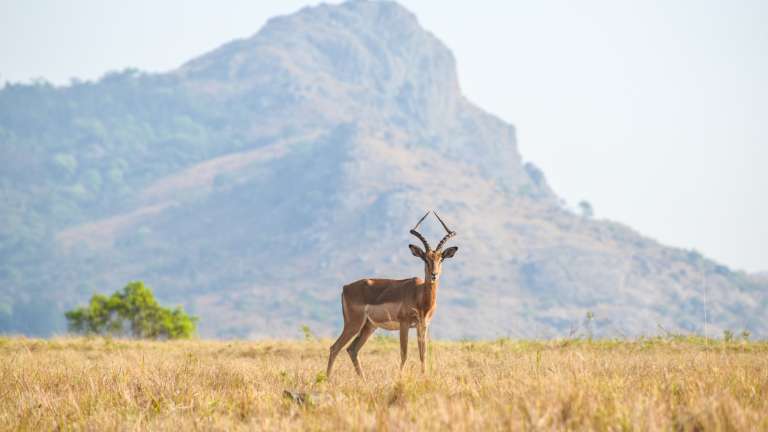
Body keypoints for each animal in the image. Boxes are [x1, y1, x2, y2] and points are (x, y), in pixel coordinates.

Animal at [326, 211, 459, 378]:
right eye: (425, 259)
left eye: (441, 259)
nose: (434, 274)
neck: (420, 295)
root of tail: (345, 288)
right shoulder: (404, 324)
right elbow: (404, 353)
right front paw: (400, 377)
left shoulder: (423, 325)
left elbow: (423, 355)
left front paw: (423, 376)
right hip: (354, 324)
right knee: (335, 347)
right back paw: (327, 379)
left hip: (369, 326)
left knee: (352, 349)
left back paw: (363, 380)